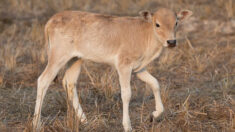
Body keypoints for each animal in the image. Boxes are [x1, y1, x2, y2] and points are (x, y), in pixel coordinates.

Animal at [33, 7, 193, 131]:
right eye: (157, 24)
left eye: (176, 22)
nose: (171, 42)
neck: (145, 34)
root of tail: (51, 20)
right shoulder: (124, 66)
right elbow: (126, 94)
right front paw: (127, 126)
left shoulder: (138, 69)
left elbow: (155, 83)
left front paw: (154, 115)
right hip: (58, 57)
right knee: (43, 80)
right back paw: (36, 123)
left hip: (76, 59)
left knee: (69, 83)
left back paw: (84, 120)